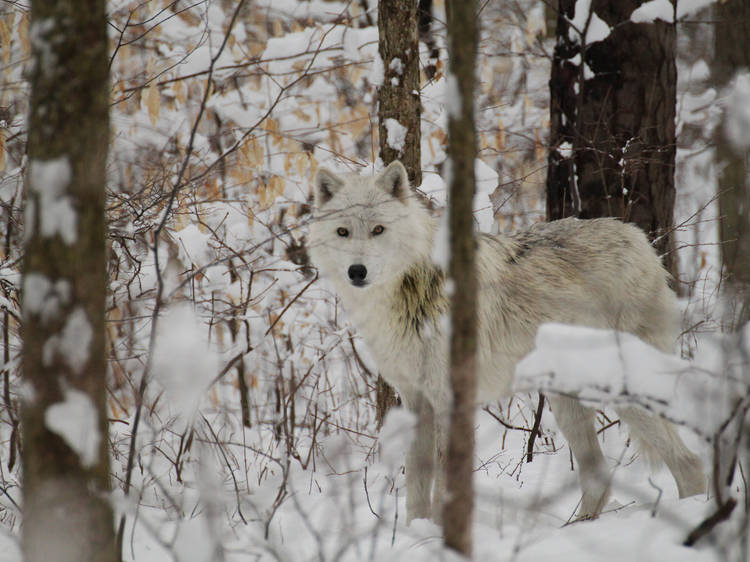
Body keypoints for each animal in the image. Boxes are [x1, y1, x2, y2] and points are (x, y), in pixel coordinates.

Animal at [308, 161, 708, 520]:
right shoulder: (416, 400)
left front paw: (438, 536)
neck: (413, 290)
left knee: (689, 464)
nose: (356, 272)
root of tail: (638, 238)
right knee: (599, 477)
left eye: (378, 229)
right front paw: (415, 534)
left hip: (621, 394)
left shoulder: (451, 400)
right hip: (567, 403)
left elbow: (444, 485)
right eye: (343, 232)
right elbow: (418, 486)